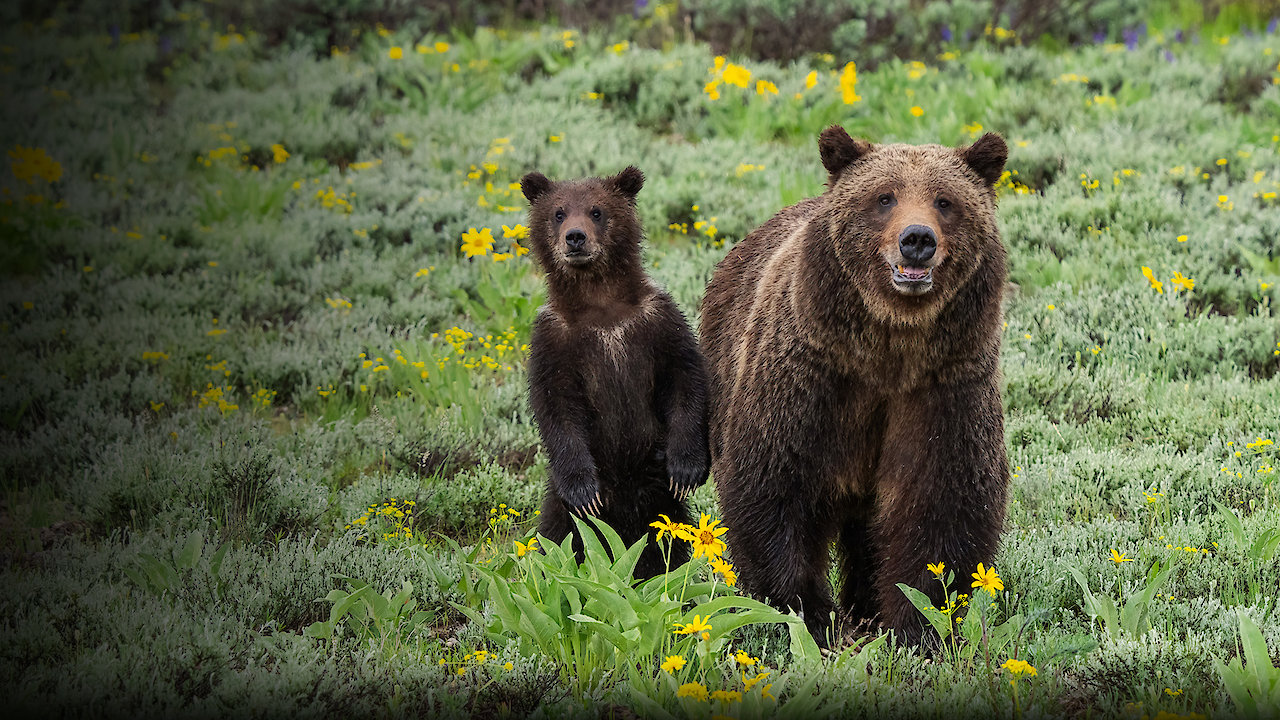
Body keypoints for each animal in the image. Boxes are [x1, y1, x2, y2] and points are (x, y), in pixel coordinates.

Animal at [520, 165, 710, 579]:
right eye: (558, 213)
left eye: (596, 211)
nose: (575, 237)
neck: (601, 304)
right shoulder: (554, 341)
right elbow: (556, 406)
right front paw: (582, 490)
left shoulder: (656, 322)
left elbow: (684, 377)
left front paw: (687, 468)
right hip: (573, 501)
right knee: (559, 532)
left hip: (657, 495)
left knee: (665, 542)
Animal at [699, 126, 1011, 646]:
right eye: (884, 197)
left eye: (945, 200)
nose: (917, 239)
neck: (888, 352)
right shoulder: (812, 378)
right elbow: (774, 484)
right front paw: (807, 615)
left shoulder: (946, 386)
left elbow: (941, 502)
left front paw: (914, 626)